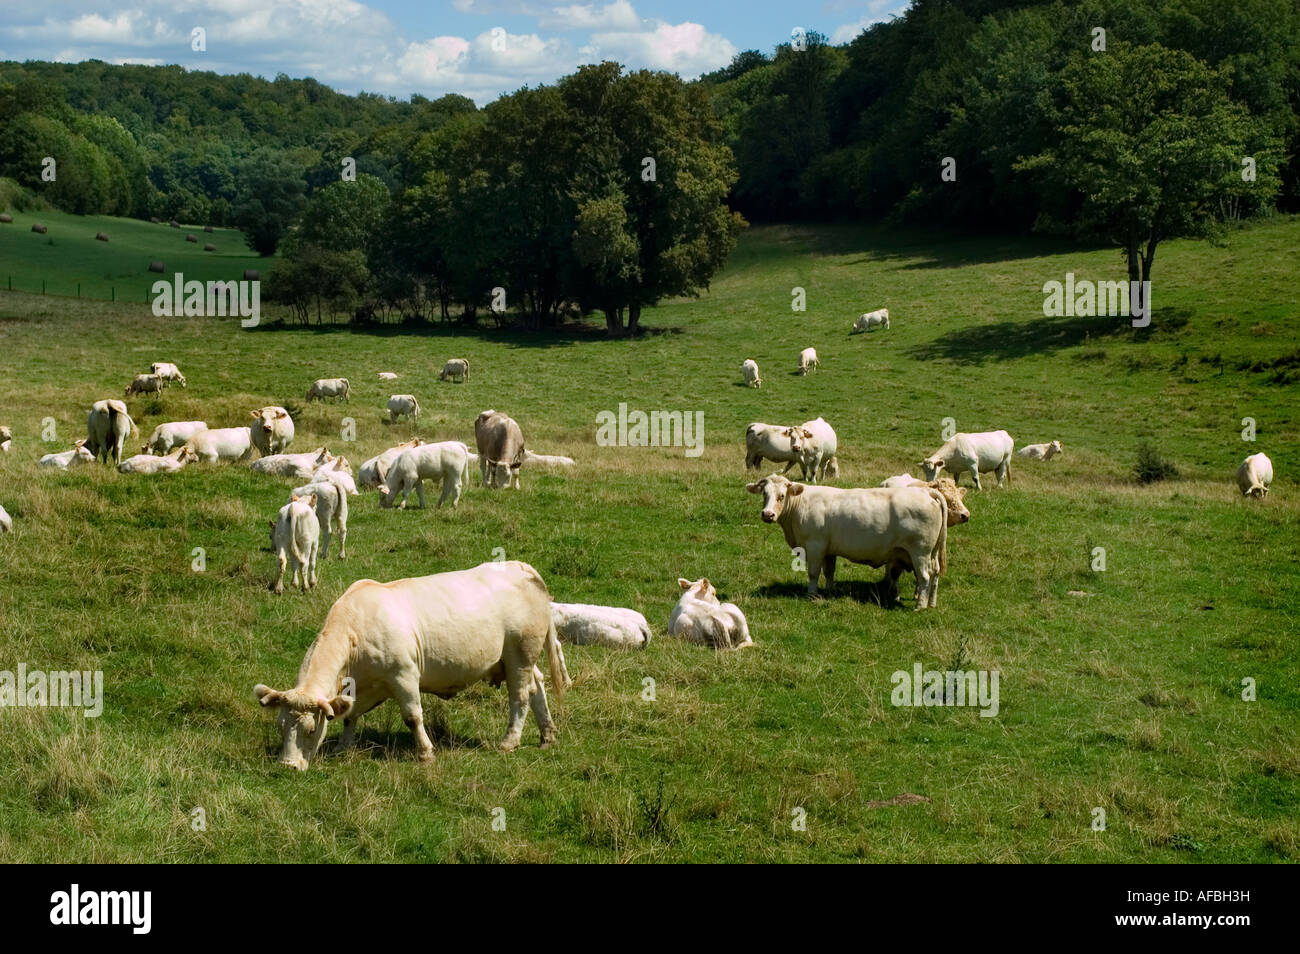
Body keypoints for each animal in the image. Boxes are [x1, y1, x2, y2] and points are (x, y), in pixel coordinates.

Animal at [252, 561, 571, 769]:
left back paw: (509, 742)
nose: (287, 766)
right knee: (537, 686)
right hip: (515, 658)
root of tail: (521, 567)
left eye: (309, 730)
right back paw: (548, 734)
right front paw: (343, 746)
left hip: (521, 653)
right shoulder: (361, 688)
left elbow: (412, 717)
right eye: (281, 726)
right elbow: (350, 714)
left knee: (520, 697)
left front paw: (426, 753)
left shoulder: (404, 675)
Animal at [747, 473, 948, 608]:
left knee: (924, 577)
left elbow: (813, 573)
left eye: (781, 495)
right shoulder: (828, 549)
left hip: (920, 552)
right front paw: (828, 591)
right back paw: (931, 603)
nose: (767, 514)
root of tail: (926, 491)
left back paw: (920, 606)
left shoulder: (815, 546)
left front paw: (811, 594)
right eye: (764, 494)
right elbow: (829, 572)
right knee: (935, 573)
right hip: (931, 553)